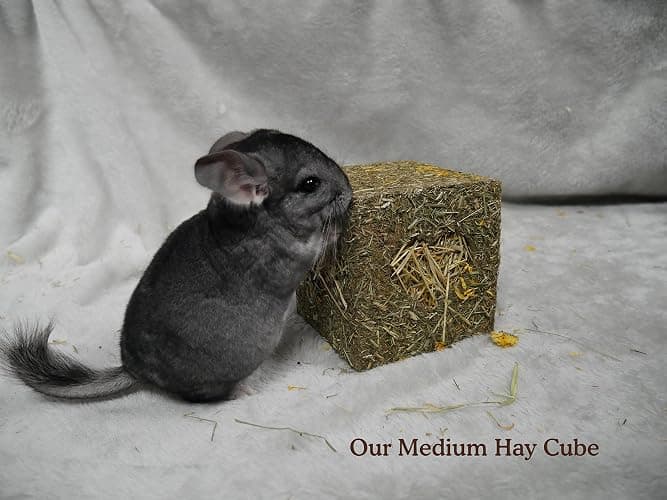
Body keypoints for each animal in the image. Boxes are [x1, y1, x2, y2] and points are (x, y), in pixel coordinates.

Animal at [0, 129, 352, 402]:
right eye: (310, 183)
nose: (348, 190)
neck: (254, 219)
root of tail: (134, 370)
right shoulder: (286, 261)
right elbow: (314, 246)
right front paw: (333, 231)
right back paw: (242, 391)